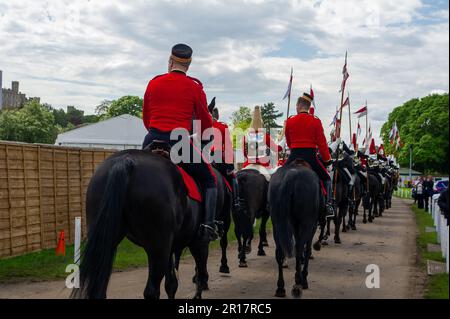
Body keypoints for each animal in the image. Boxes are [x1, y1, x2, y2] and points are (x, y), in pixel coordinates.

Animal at [268, 161, 318, 298]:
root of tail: (290, 175)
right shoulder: (311, 225)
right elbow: (307, 249)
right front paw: (304, 278)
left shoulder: (294, 225)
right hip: (306, 223)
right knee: (299, 248)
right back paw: (298, 282)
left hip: (277, 225)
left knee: (280, 252)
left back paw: (280, 288)